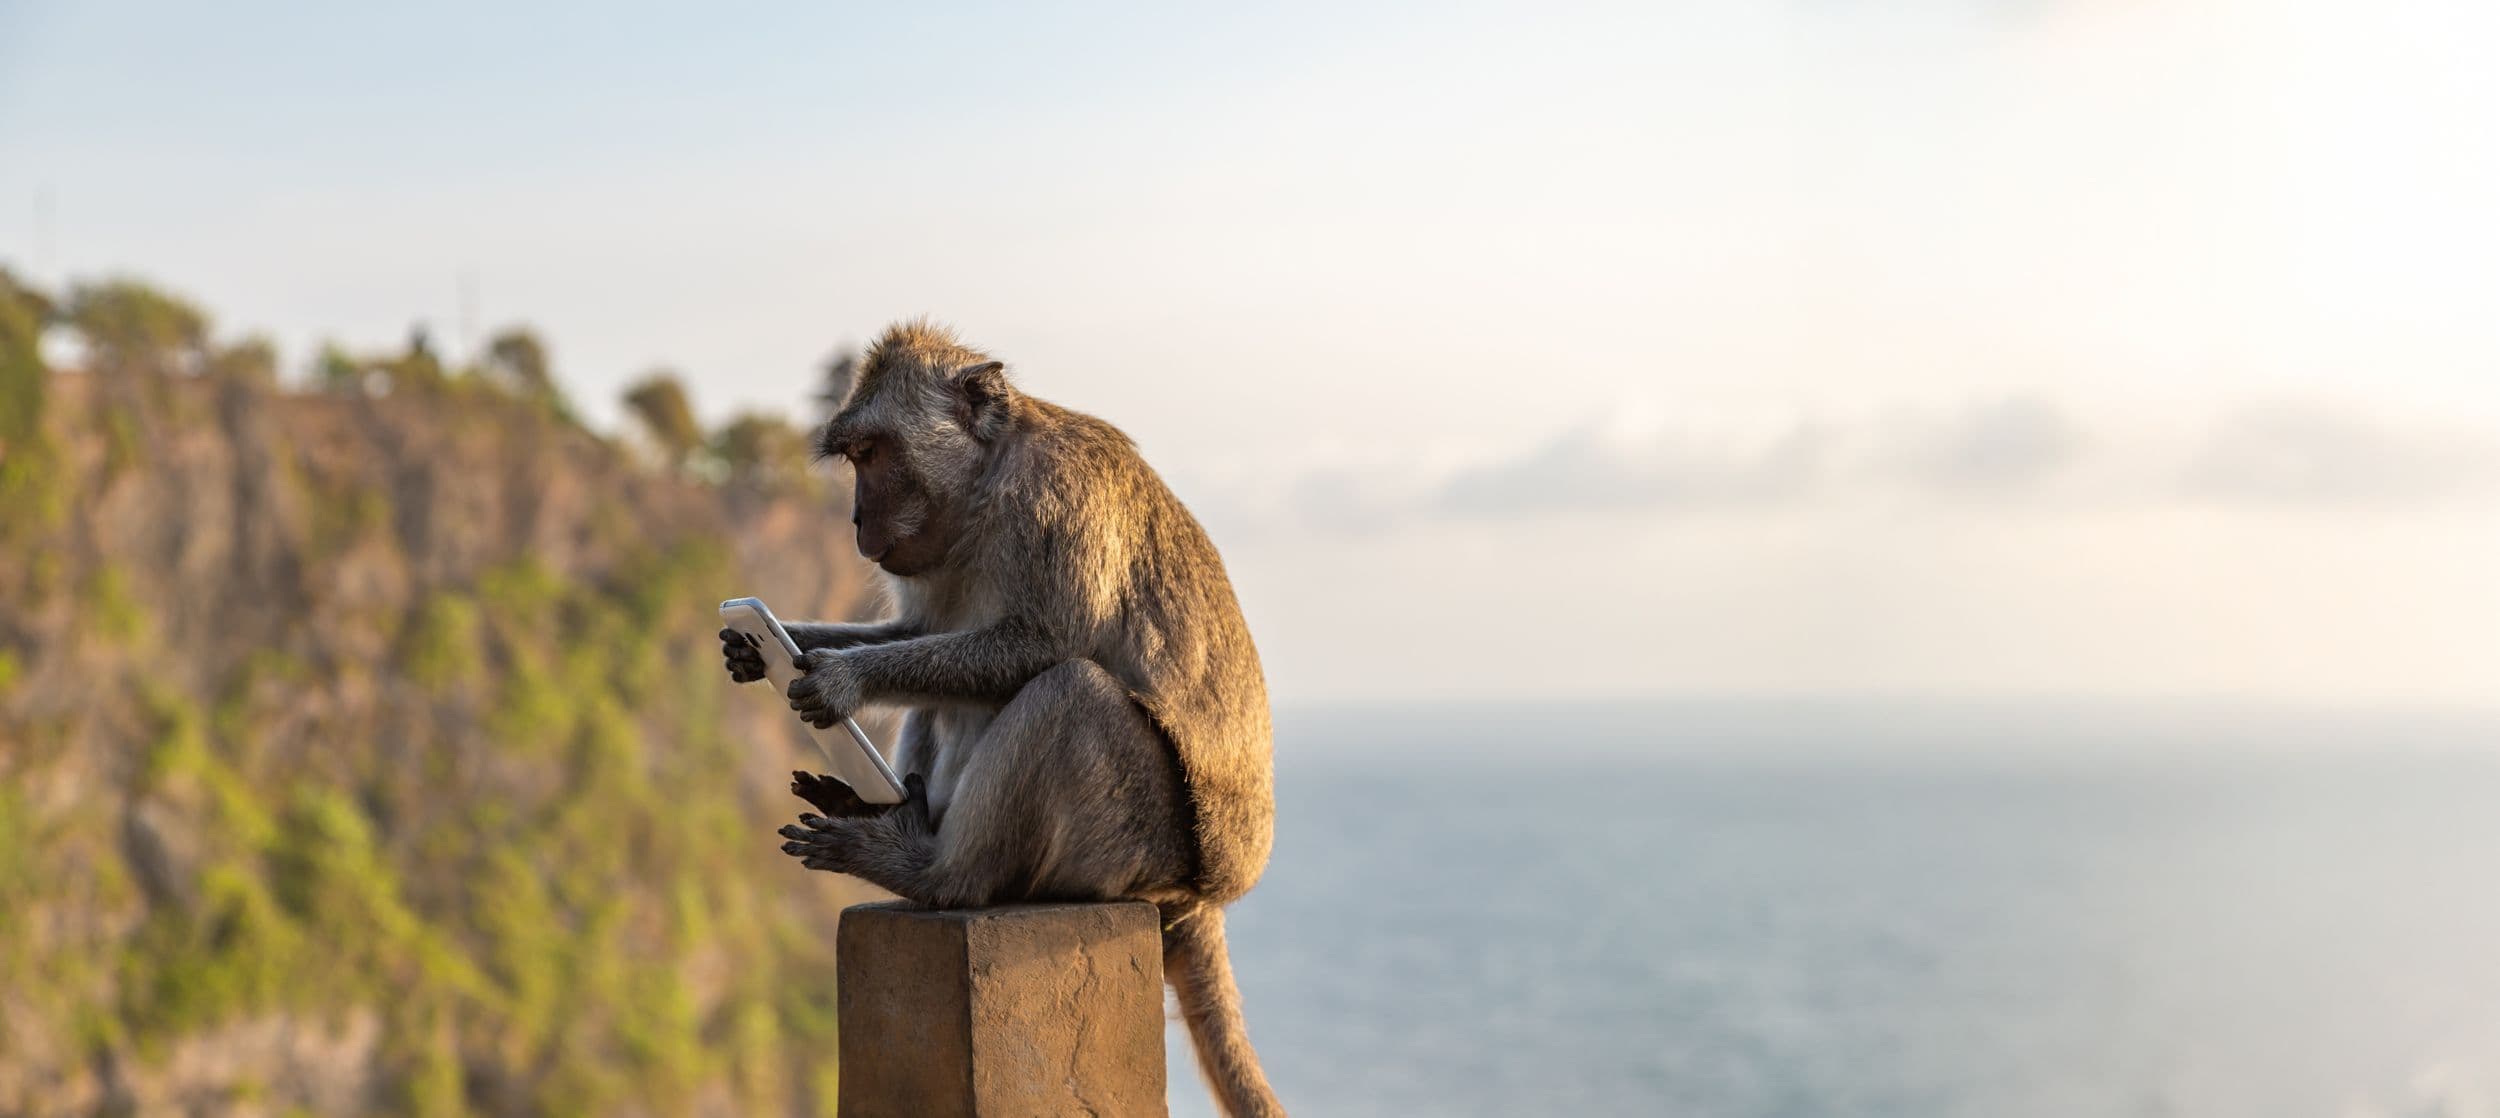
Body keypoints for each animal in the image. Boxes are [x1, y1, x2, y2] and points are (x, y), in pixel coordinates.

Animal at [717, 320, 1283, 1117]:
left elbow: (1048, 643)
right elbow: (916, 634)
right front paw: (766, 644)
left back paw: (935, 873)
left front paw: (843, 678)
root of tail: (1203, 897)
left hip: (1134, 849)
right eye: (853, 457)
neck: (985, 490)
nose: (856, 517)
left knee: (1072, 691)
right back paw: (882, 813)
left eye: (874, 453)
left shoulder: (1061, 498)